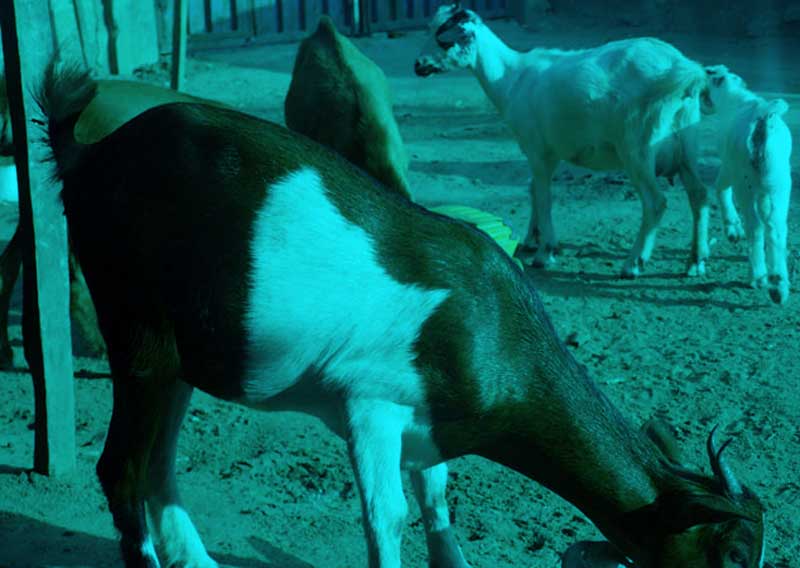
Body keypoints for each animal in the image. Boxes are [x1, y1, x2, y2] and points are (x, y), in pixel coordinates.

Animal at [37, 63, 765, 568]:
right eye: (732, 553)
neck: (492, 331)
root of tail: (88, 152)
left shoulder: (428, 425)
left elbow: (436, 502)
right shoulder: (371, 406)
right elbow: (386, 519)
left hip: (179, 359)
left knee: (157, 465)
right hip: (138, 335)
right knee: (122, 469)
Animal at [414, 4, 712, 278]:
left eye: (444, 39)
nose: (418, 65)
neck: (511, 78)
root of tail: (682, 69)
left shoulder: (536, 149)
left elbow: (544, 195)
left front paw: (545, 252)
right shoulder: (549, 151)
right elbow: (534, 190)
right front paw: (531, 239)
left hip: (637, 146)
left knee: (655, 202)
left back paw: (633, 264)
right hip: (688, 142)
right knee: (699, 194)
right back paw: (695, 261)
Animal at [705, 65, 793, 304]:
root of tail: (763, 117)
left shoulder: (729, 170)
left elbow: (720, 189)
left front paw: (732, 229)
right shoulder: (764, 191)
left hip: (745, 185)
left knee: (755, 226)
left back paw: (757, 275)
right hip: (780, 184)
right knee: (776, 227)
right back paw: (778, 285)